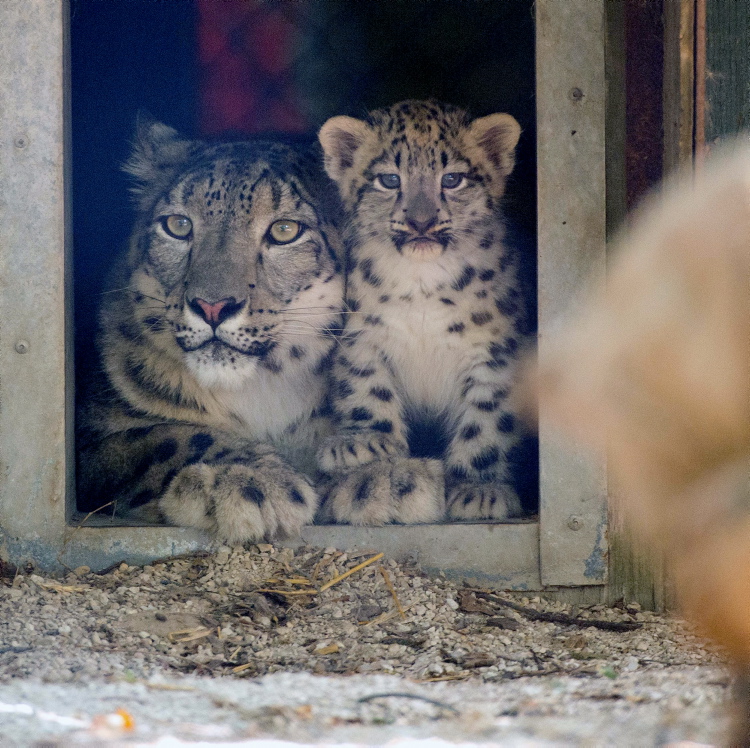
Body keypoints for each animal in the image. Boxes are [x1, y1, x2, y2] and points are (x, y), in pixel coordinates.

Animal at [77, 122, 344, 544]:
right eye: (178, 225)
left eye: (285, 230)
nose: (213, 306)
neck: (263, 394)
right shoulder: (91, 438)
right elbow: (165, 436)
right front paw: (252, 480)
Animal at [320, 101, 532, 524]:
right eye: (388, 179)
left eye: (452, 179)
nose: (421, 221)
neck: (421, 284)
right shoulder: (362, 339)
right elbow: (368, 390)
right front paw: (366, 443)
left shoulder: (495, 354)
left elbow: (487, 420)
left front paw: (480, 491)